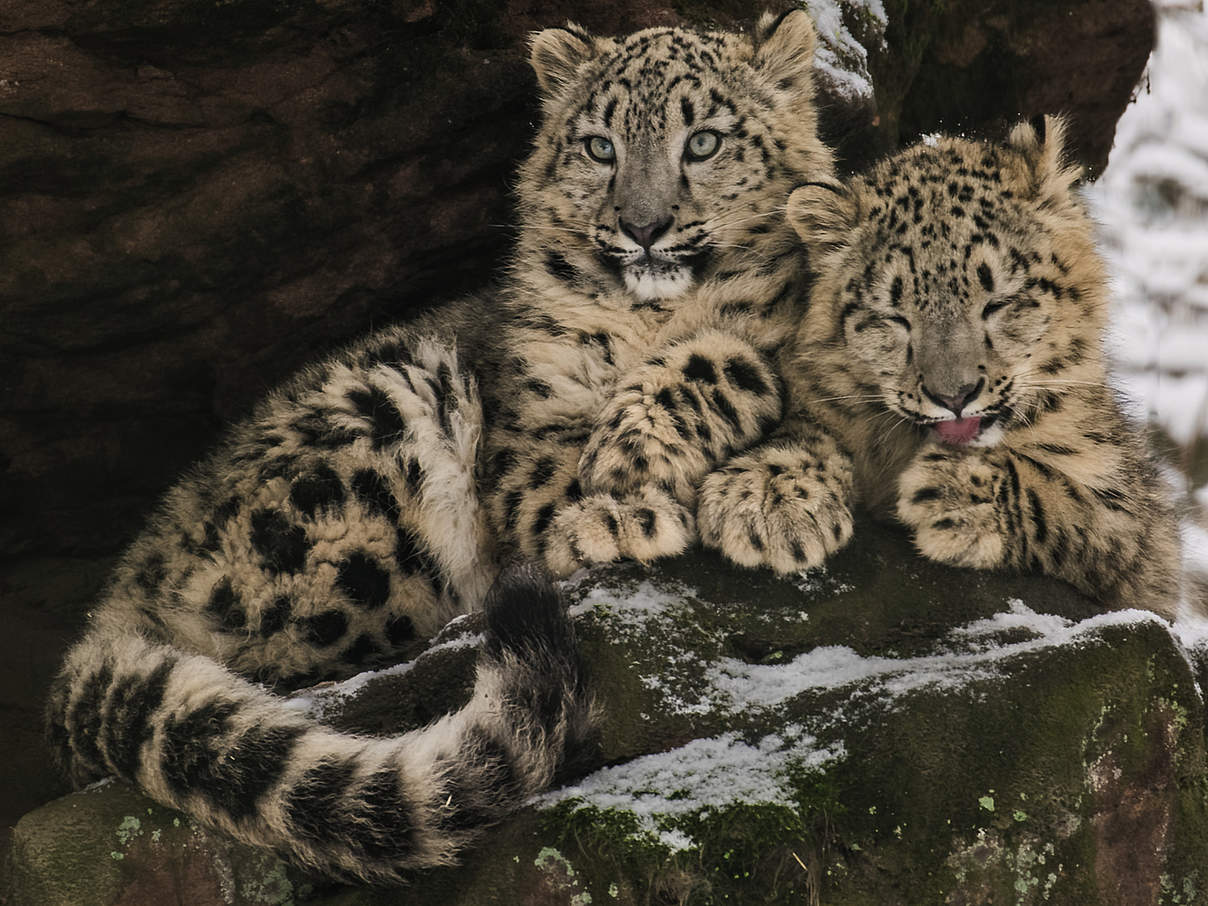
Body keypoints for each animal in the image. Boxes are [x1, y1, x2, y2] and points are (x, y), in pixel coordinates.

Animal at [49, 8, 840, 889]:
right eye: (600, 146)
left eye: (703, 141)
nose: (642, 227)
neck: (658, 318)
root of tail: (120, 590)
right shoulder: (528, 442)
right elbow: (604, 448)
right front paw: (625, 494)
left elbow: (791, 394)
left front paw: (775, 504)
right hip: (380, 437)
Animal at [695, 118, 1183, 618]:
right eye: (893, 316)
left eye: (998, 301)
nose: (954, 395)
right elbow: (812, 427)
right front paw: (764, 497)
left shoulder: (1141, 534)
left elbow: (1073, 498)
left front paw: (954, 494)